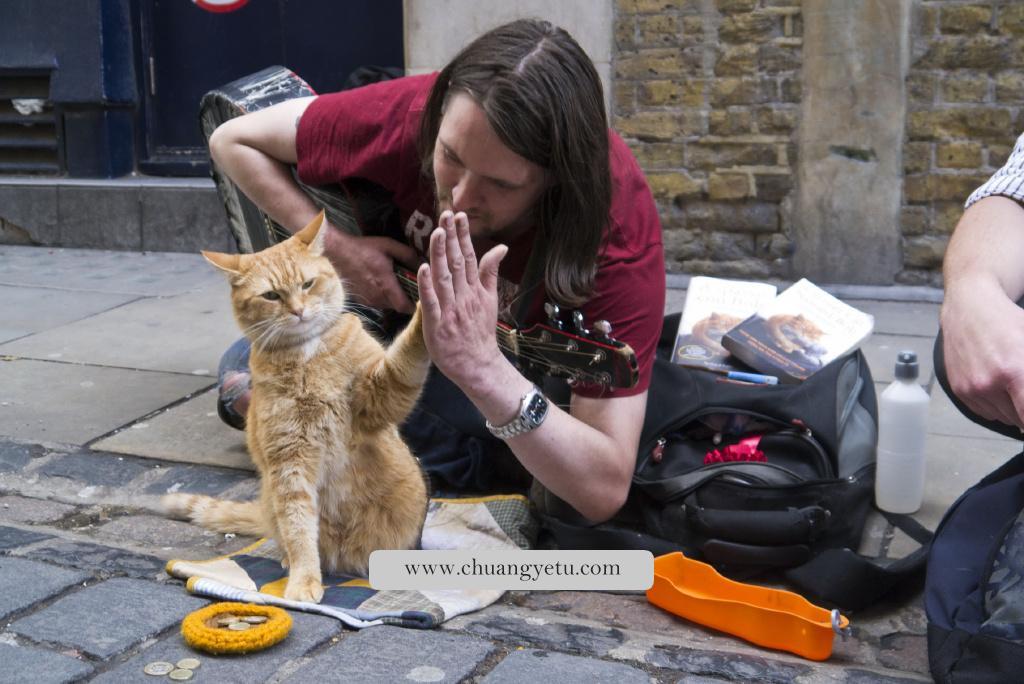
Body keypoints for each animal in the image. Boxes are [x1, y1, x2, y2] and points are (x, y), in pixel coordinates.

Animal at [163, 210, 428, 602]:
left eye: (307, 284)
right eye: (271, 295)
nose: (299, 311)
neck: (307, 355)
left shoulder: (380, 397)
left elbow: (407, 356)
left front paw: (434, 298)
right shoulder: (289, 462)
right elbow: (299, 528)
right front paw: (303, 579)